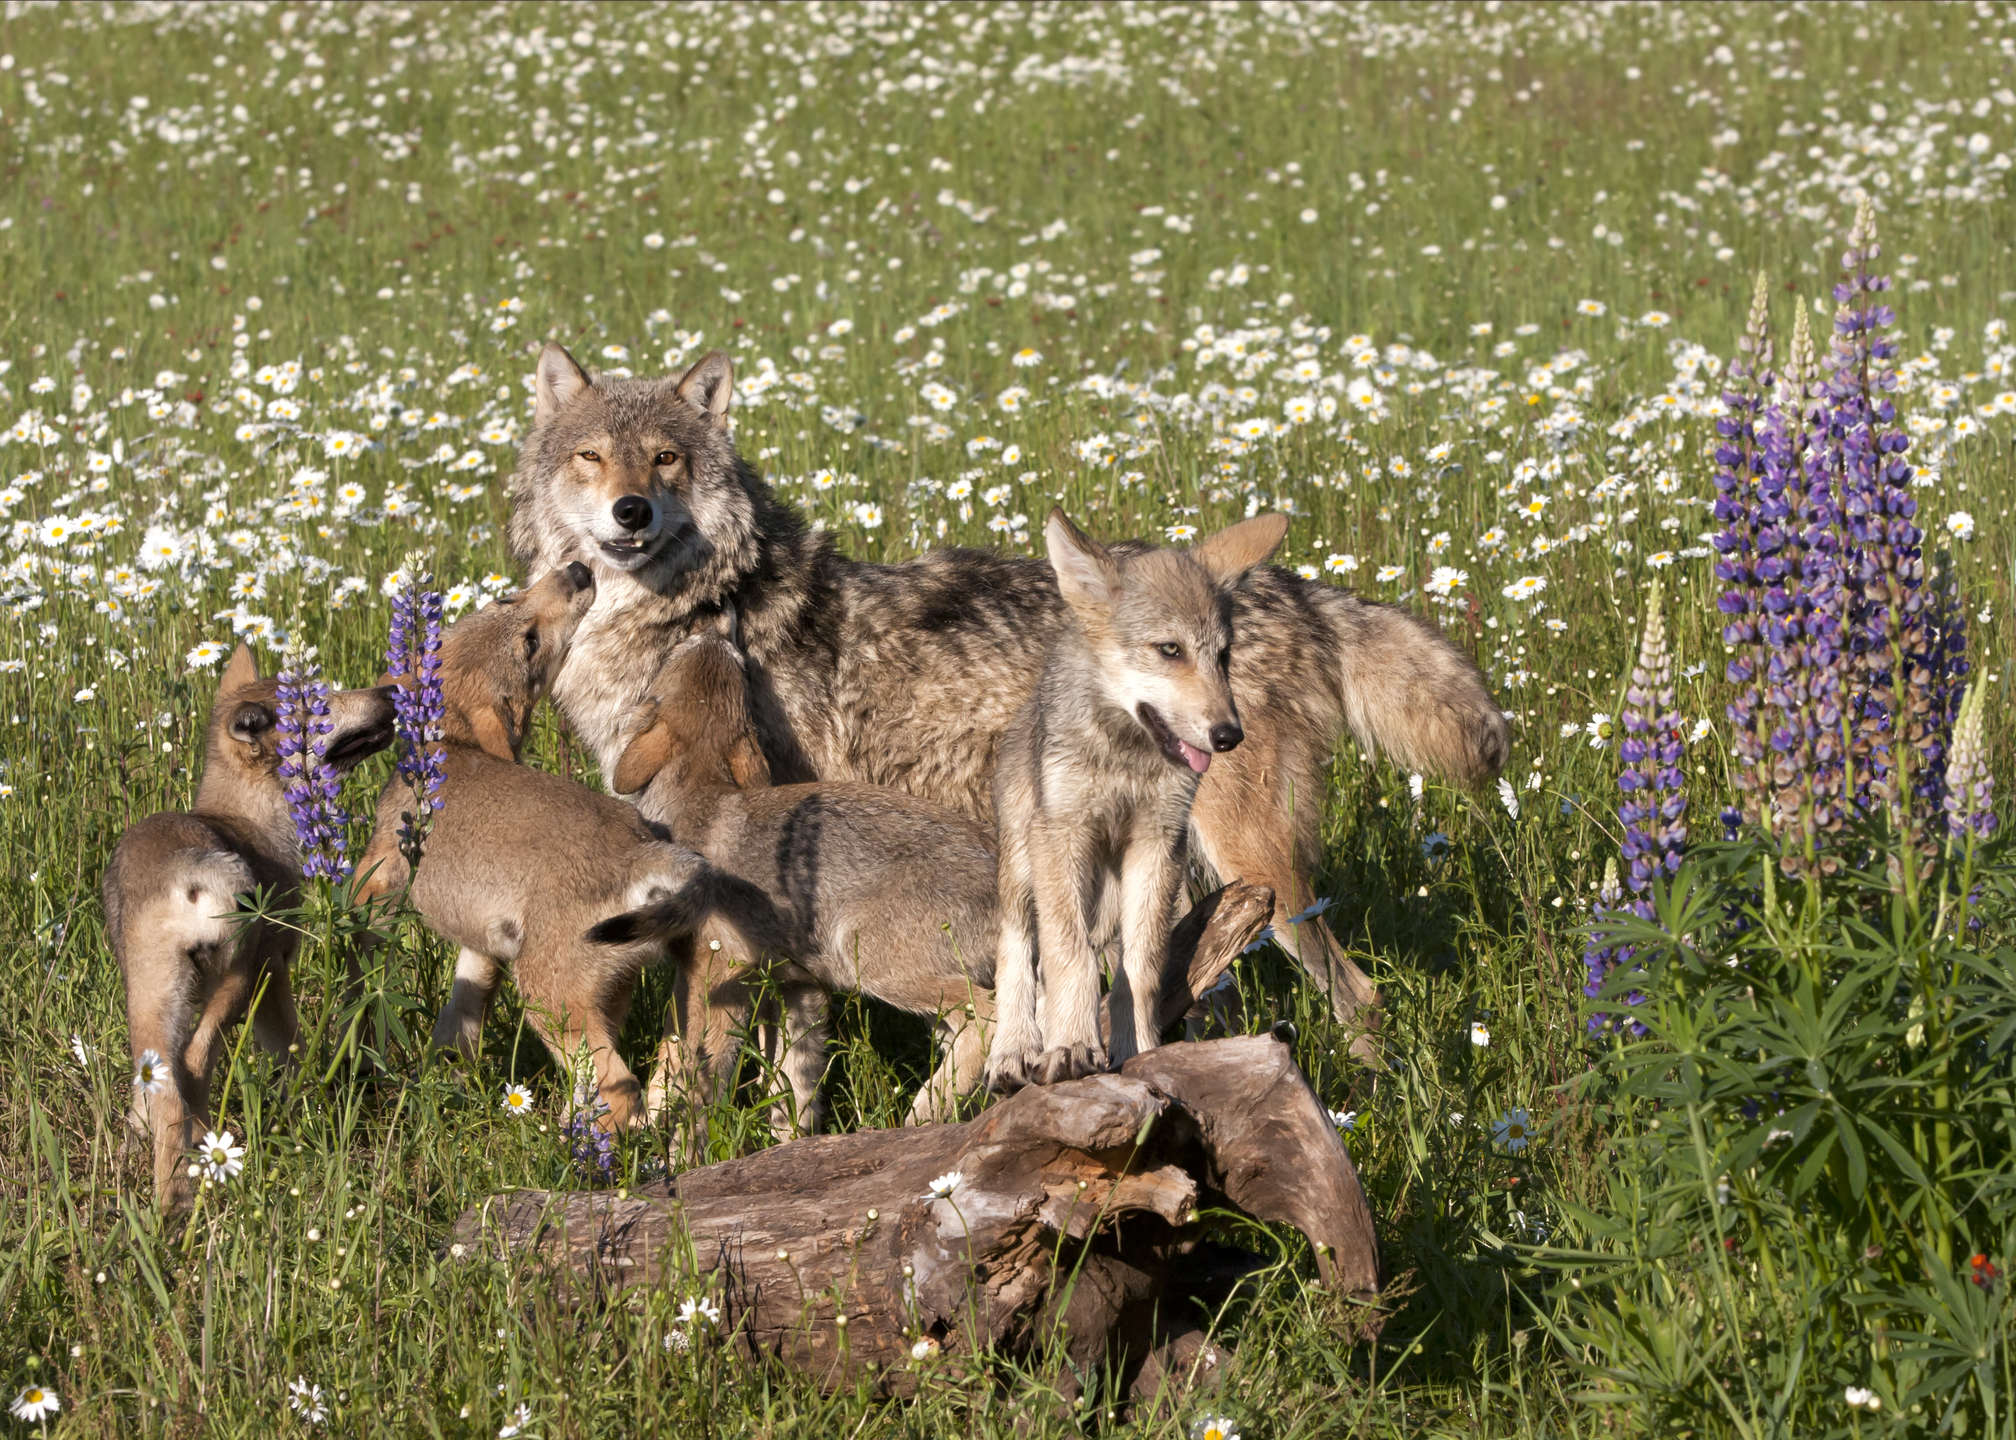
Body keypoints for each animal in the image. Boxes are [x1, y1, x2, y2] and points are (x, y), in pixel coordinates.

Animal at [103, 644, 394, 1206]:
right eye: (321, 702)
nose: (391, 691)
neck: (248, 817)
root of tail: (188, 870)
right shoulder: (275, 968)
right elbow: (291, 1050)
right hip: (239, 983)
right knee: (195, 1065)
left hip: (154, 999)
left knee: (163, 1089)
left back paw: (172, 1199)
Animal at [354, 562, 724, 1129]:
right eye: (505, 602)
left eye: (531, 643)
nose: (578, 570)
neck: (448, 742)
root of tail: (645, 853)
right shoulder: (483, 946)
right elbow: (458, 1021)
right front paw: (444, 1080)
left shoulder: (382, 867)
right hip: (620, 993)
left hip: (549, 999)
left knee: (620, 1091)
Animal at [595, 619, 998, 1129]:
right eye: (738, 668)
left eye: (674, 654)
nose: (714, 630)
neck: (699, 799)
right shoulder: (800, 990)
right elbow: (792, 1090)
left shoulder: (715, 975)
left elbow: (684, 1071)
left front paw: (663, 1141)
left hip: (875, 964)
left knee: (987, 1017)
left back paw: (920, 1115)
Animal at [987, 508, 1288, 1091]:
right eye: (1170, 650)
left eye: (1222, 656)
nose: (1228, 735)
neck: (1124, 756)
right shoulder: (1062, 836)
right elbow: (1068, 958)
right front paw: (1070, 1047)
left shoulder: (1158, 843)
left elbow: (1140, 968)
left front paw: (1138, 1050)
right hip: (1024, 867)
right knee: (1018, 954)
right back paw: (1014, 1052)